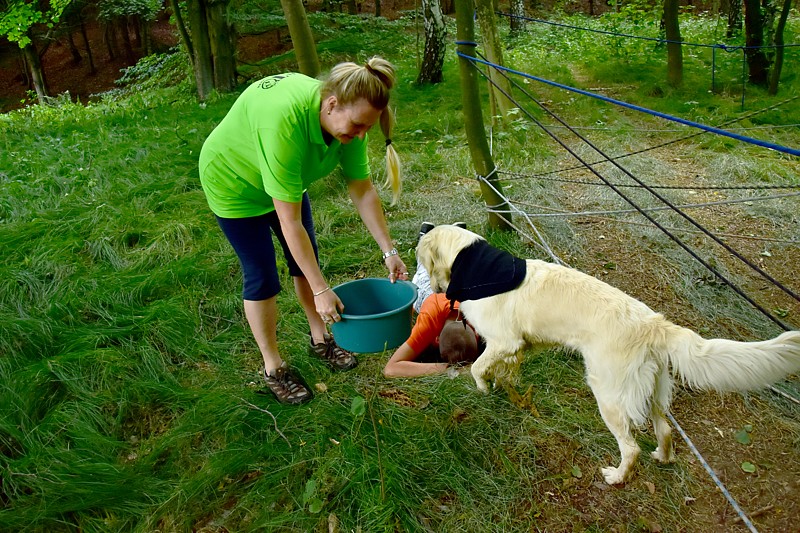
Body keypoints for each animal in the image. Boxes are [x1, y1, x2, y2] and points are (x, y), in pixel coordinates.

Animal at [418, 227, 800, 484]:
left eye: (421, 256)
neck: (478, 267)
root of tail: (654, 324)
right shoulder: (515, 349)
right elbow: (504, 373)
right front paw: (503, 392)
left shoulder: (504, 341)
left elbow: (478, 368)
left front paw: (483, 391)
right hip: (654, 393)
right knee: (665, 432)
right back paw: (662, 458)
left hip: (609, 395)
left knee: (630, 448)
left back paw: (617, 477)